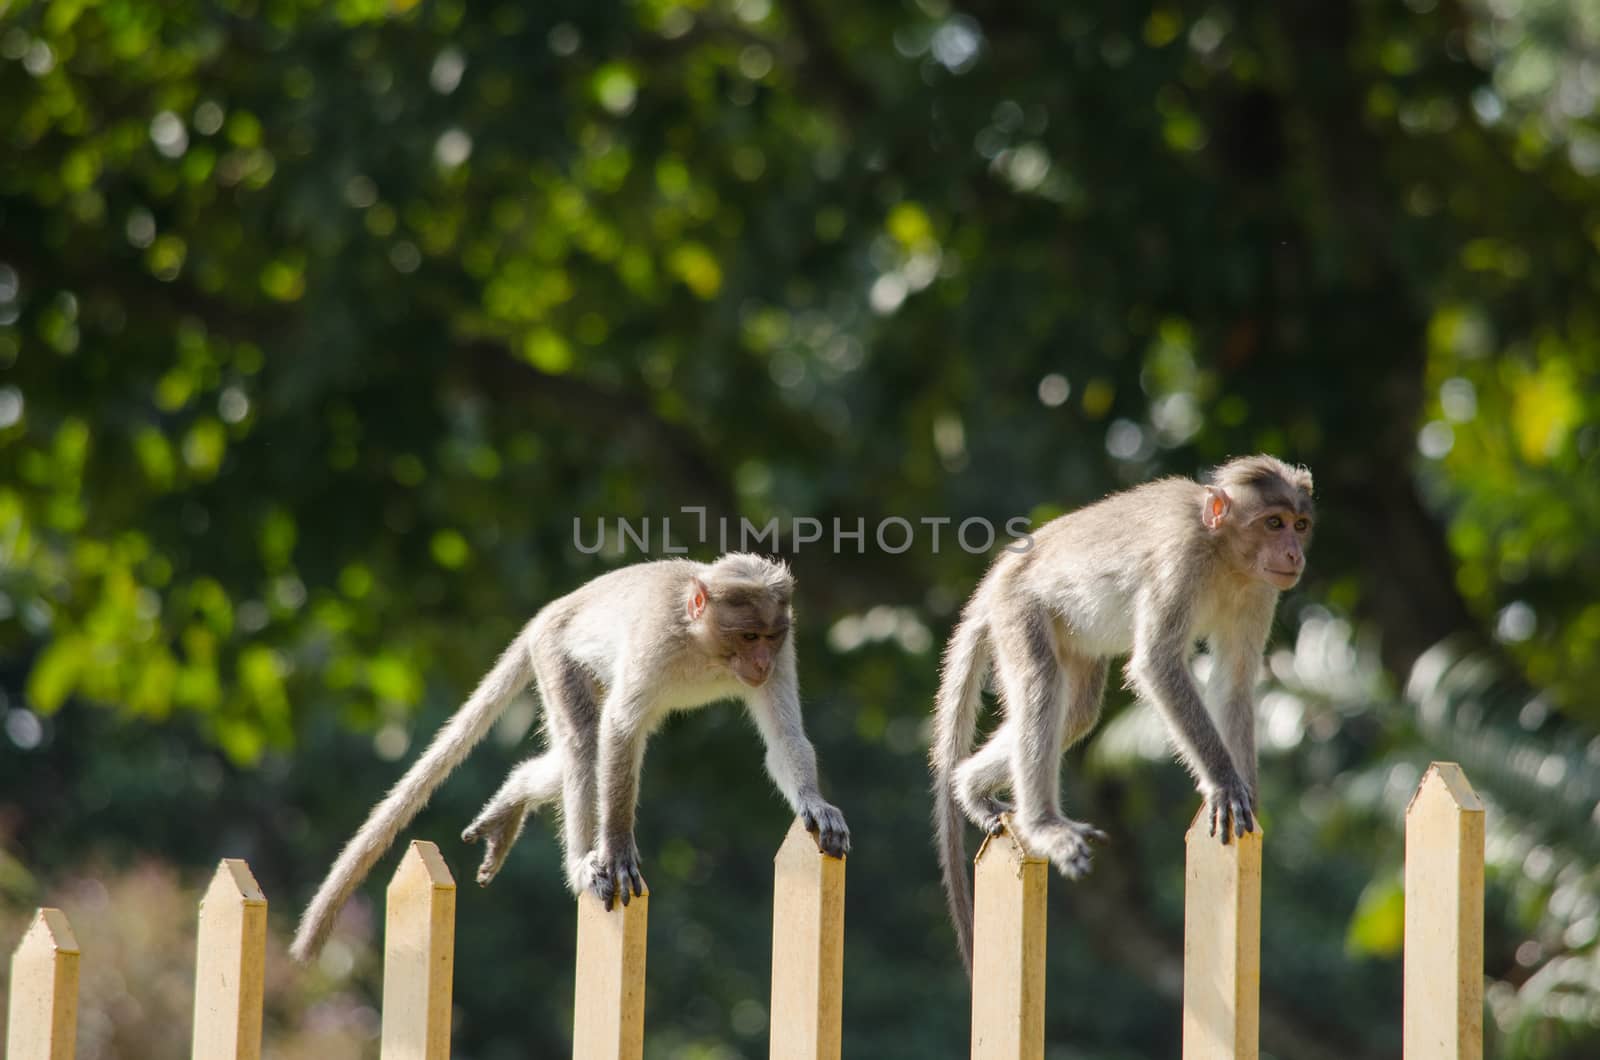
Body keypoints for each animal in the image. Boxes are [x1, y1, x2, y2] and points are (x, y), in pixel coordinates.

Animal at [291, 550, 851, 967]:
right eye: (749, 636)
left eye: (770, 637)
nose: (760, 662)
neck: (706, 648)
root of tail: (552, 609)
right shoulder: (658, 641)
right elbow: (619, 733)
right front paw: (618, 849)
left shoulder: (786, 652)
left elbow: (785, 736)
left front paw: (814, 804)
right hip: (557, 654)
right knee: (587, 742)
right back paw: (584, 862)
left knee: (577, 751)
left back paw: (514, 797)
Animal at [928, 451, 1312, 973]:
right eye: (1273, 523)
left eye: (1299, 524)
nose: (1294, 554)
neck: (1225, 556)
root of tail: (998, 577)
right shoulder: (1182, 560)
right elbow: (1157, 664)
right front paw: (1224, 783)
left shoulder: (1259, 589)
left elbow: (1232, 684)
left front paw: (1245, 794)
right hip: (1020, 608)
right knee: (1042, 685)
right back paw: (1044, 827)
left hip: (1068, 634)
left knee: (1077, 711)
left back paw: (968, 785)